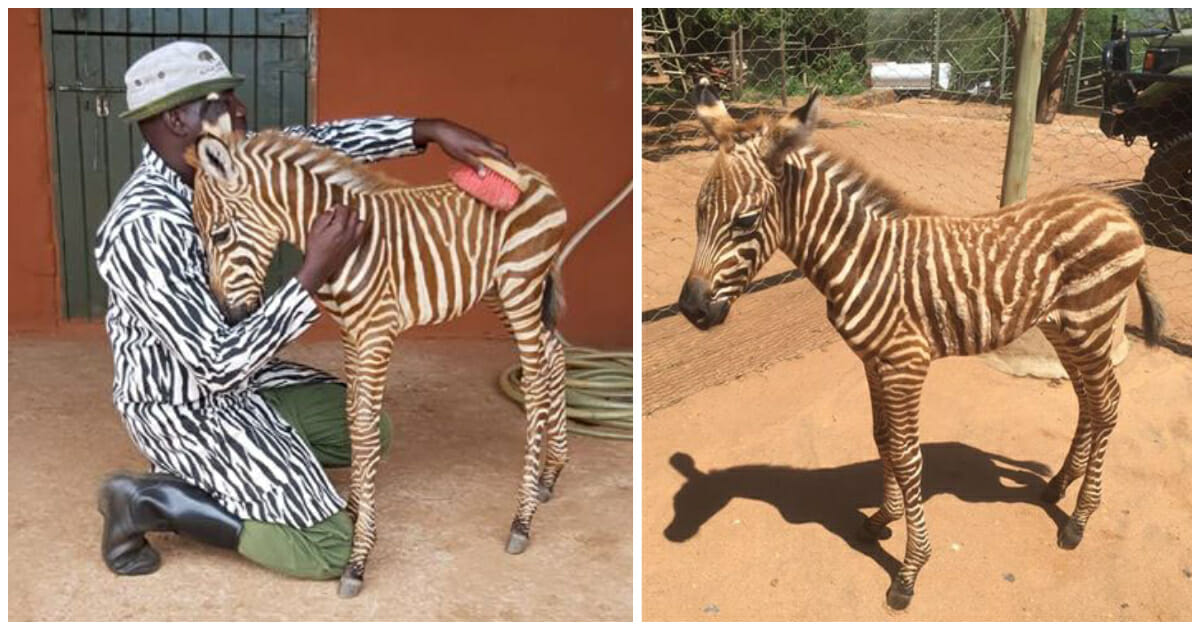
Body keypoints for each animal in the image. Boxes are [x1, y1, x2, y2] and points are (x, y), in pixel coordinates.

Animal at [188, 125, 571, 597]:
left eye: (220, 235)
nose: (229, 318)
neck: (345, 243)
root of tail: (534, 175)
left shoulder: (375, 333)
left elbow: (367, 432)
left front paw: (359, 557)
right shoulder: (352, 334)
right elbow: (354, 419)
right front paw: (354, 509)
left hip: (520, 283)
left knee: (535, 384)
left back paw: (522, 518)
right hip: (499, 290)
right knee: (554, 353)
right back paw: (550, 474)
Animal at [681, 81, 1166, 607]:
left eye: (746, 221)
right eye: (698, 213)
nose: (690, 309)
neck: (862, 258)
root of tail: (1118, 209)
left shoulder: (905, 363)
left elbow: (907, 454)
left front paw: (910, 570)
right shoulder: (874, 360)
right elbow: (883, 439)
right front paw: (881, 520)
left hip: (1090, 324)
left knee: (1108, 404)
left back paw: (1078, 520)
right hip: (1067, 330)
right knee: (1088, 403)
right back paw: (1058, 487)